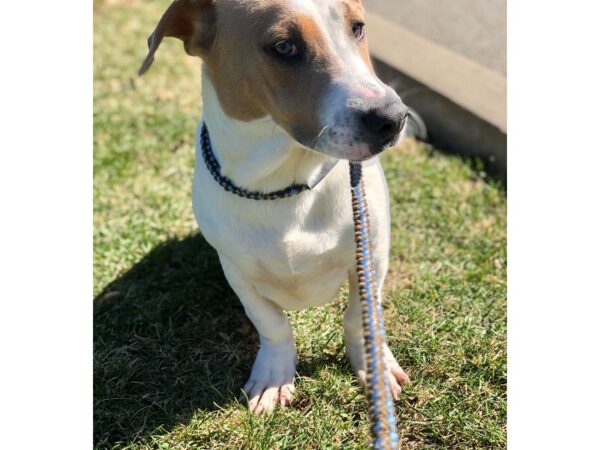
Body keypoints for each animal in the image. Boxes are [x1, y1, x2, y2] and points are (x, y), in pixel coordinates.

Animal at [140, 0, 410, 414]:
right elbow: (271, 322)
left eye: (358, 27)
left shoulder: (372, 254)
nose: (392, 118)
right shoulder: (236, 268)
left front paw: (373, 363)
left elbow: (358, 315)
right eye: (283, 46)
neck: (285, 185)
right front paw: (274, 375)